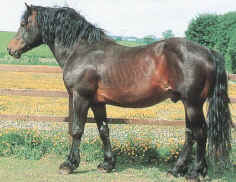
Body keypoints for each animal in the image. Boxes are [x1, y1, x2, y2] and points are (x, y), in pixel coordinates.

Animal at [7, 3, 232, 178]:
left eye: (23, 24)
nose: (10, 49)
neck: (82, 49)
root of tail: (208, 51)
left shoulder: (80, 97)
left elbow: (77, 130)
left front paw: (69, 164)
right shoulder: (97, 101)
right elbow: (103, 130)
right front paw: (107, 164)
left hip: (193, 103)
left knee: (201, 133)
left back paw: (196, 172)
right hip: (187, 103)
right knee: (190, 134)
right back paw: (176, 170)